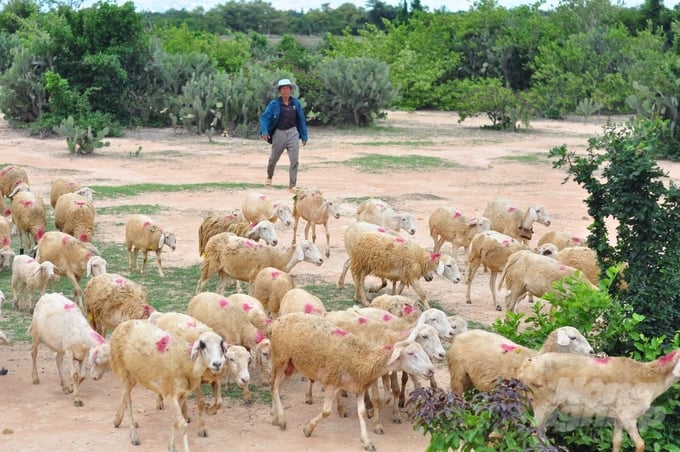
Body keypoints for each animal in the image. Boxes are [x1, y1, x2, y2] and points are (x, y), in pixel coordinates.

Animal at [111, 320, 226, 450]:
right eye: (202, 344)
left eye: (221, 344)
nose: (217, 364)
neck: (187, 363)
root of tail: (124, 323)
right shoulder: (171, 393)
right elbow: (182, 425)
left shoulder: (183, 395)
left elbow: (175, 421)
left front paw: (171, 446)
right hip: (124, 369)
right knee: (128, 401)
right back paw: (134, 435)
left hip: (135, 374)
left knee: (125, 395)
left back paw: (117, 420)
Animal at [195, 231, 326, 294]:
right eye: (306, 247)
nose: (321, 260)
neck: (278, 259)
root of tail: (213, 238)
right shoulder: (253, 279)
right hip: (210, 264)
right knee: (200, 283)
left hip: (225, 270)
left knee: (219, 288)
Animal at [268, 312, 432, 450]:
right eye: (411, 353)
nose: (431, 371)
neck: (361, 359)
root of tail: (278, 320)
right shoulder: (331, 383)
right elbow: (326, 411)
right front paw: (308, 429)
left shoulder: (358, 388)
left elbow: (362, 413)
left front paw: (366, 441)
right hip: (280, 357)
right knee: (274, 386)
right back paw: (281, 419)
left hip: (291, 365)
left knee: (277, 387)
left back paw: (275, 416)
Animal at [516, 350, 680, 452]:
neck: (650, 380)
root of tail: (525, 366)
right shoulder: (628, 416)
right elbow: (640, 444)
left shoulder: (619, 417)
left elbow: (617, 442)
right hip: (541, 403)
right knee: (533, 434)